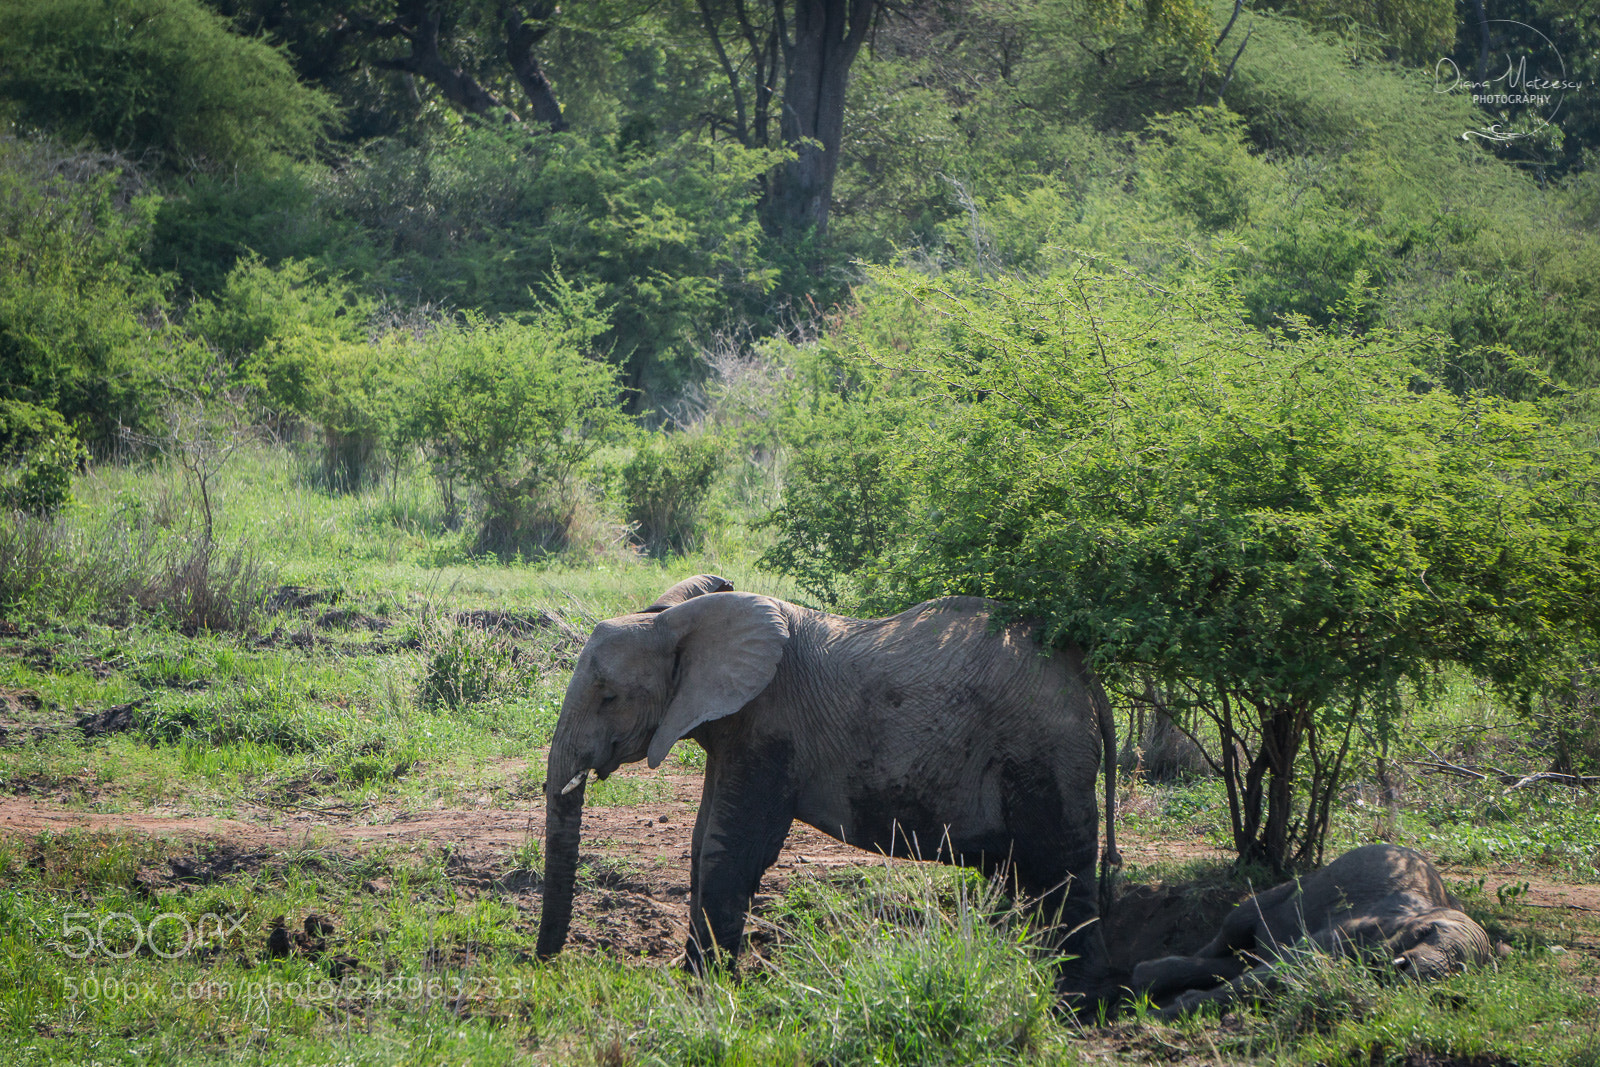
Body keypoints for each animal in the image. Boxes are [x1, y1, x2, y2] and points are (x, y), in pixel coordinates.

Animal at [534, 574, 1121, 996]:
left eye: (609, 696)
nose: (545, 966)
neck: (676, 622)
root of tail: (1088, 679)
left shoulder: (771, 728)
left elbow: (732, 849)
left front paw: (704, 990)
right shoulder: (732, 730)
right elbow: (704, 842)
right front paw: (695, 978)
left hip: (1046, 754)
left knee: (1061, 873)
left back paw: (1076, 1003)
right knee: (1025, 878)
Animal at [1131, 843, 1492, 1017]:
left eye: (1459, 971)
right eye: (1426, 932)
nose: (1409, 972)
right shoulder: (1362, 924)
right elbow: (1293, 966)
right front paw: (1159, 1015)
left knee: (1241, 961)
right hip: (1292, 887)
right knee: (1233, 932)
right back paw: (1144, 979)